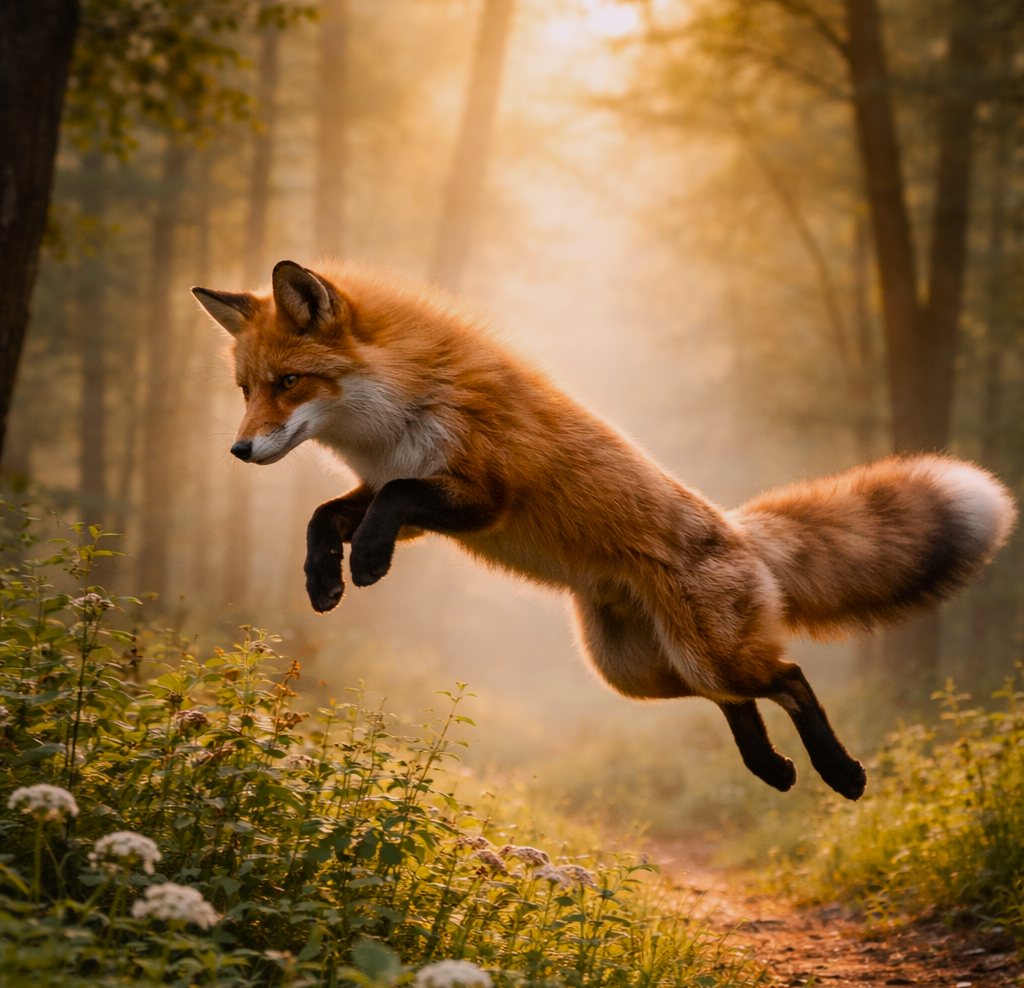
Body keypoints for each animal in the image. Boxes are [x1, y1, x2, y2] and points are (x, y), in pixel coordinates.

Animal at [193, 259, 1017, 801]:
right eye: (244, 389)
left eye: (289, 383)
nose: (237, 450)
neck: (394, 414)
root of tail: (739, 532)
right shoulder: (406, 495)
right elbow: (323, 515)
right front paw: (322, 579)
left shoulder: (482, 494)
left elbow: (392, 501)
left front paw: (362, 564)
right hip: (638, 672)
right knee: (737, 699)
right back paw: (772, 769)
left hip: (702, 654)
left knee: (788, 678)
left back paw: (839, 773)